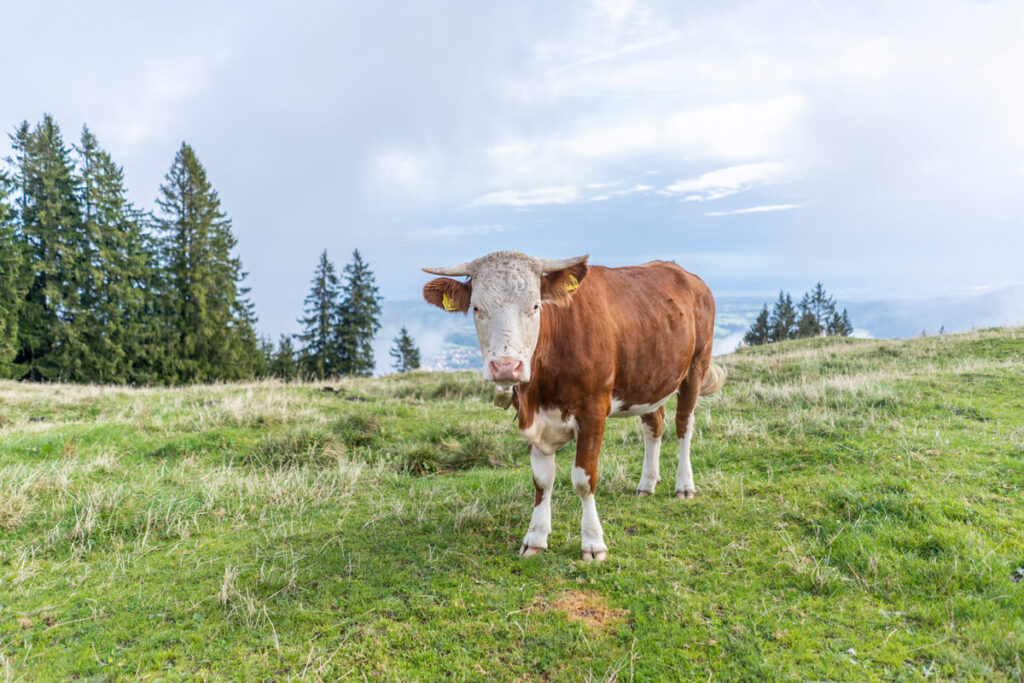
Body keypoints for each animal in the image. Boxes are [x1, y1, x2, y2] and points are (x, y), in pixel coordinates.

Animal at [419, 250, 724, 561]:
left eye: (535, 305)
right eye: (477, 307)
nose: (506, 366)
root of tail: (685, 274)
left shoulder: (593, 413)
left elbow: (583, 479)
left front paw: (593, 542)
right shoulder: (531, 416)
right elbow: (542, 481)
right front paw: (535, 537)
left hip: (696, 366)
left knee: (684, 424)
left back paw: (684, 485)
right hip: (651, 377)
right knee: (654, 424)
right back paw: (647, 484)